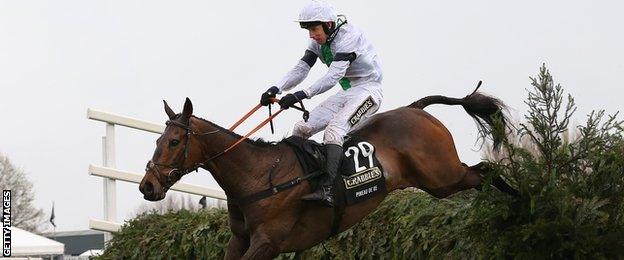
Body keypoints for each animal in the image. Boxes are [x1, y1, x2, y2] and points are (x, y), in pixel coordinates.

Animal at [140, 88, 516, 258]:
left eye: (173, 141)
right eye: (157, 140)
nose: (147, 186)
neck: (259, 175)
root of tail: (416, 109)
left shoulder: (267, 242)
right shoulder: (240, 239)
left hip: (442, 176)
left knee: (485, 170)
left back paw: (520, 200)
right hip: (439, 180)